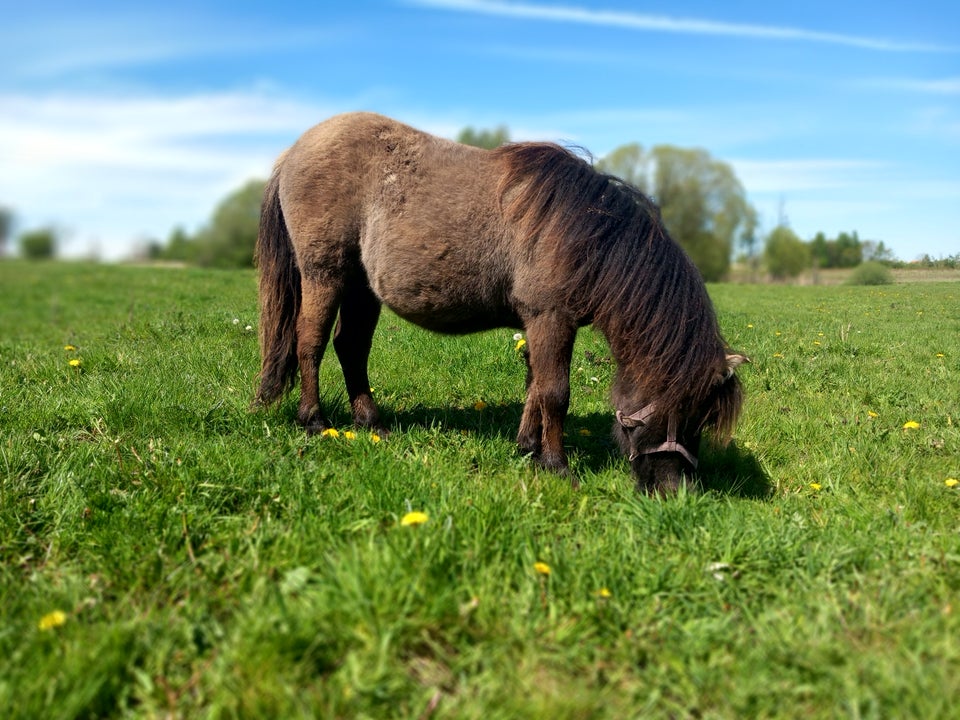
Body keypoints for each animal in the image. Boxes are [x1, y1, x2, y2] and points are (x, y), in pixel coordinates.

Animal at [251, 114, 748, 496]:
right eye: (685, 413)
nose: (675, 491)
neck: (589, 235)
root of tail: (292, 152)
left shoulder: (536, 322)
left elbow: (534, 385)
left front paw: (527, 447)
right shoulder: (551, 318)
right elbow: (555, 392)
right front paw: (556, 464)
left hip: (361, 288)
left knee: (351, 348)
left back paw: (371, 421)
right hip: (325, 275)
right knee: (310, 342)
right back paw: (314, 420)